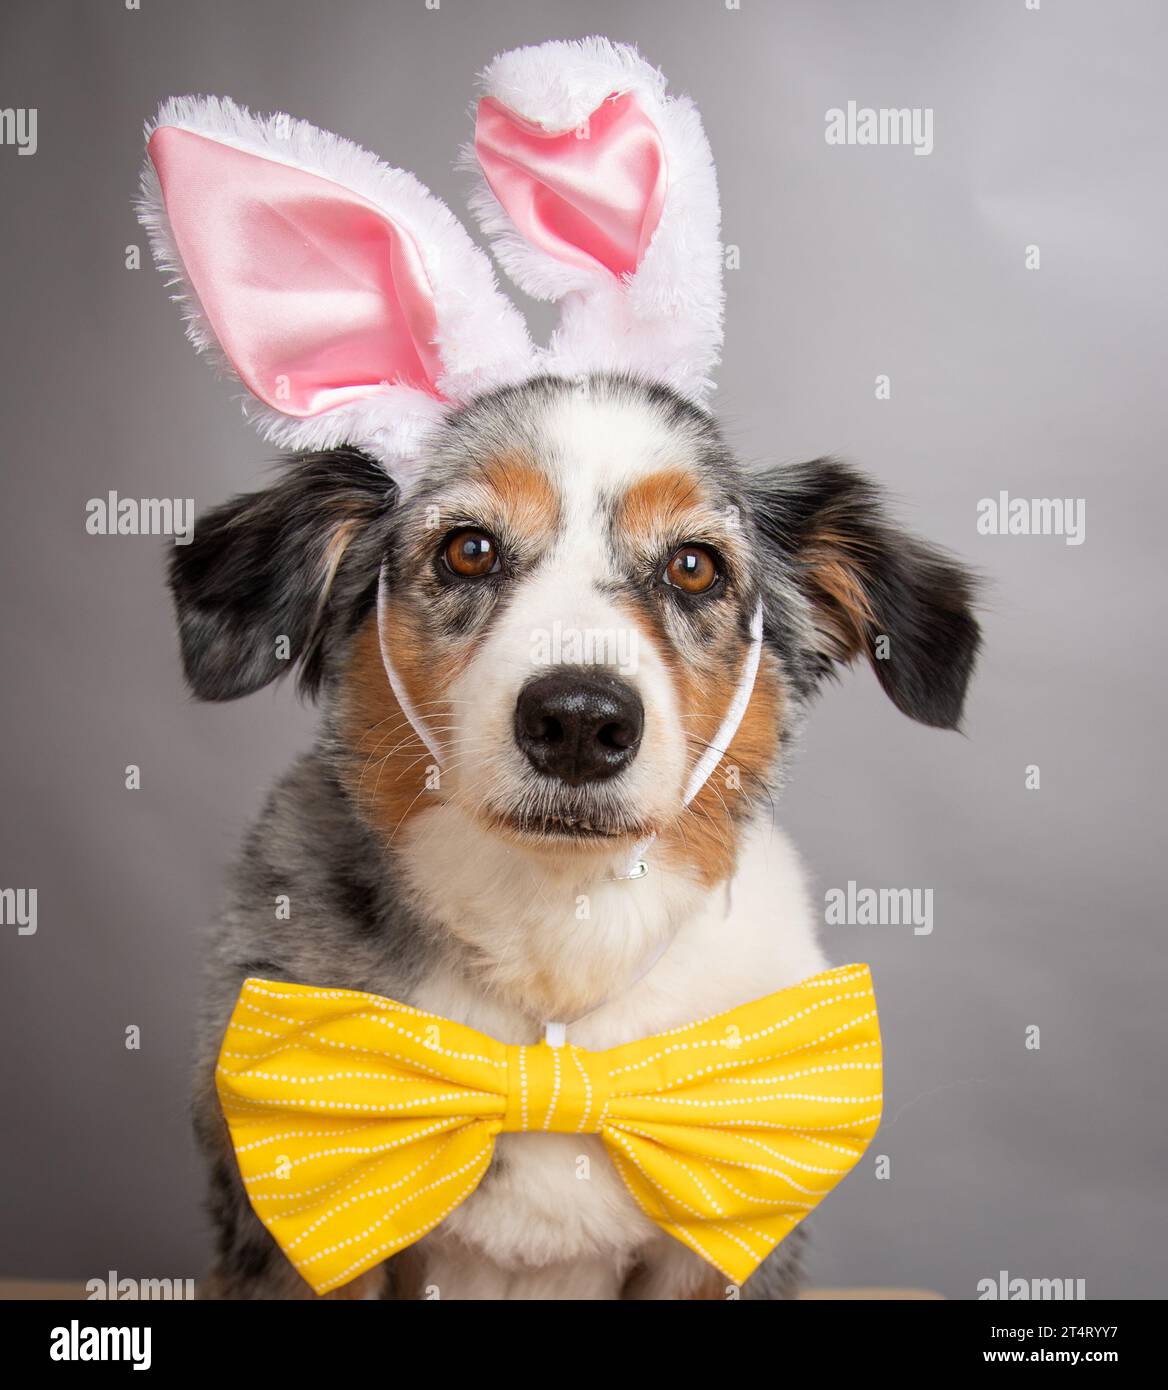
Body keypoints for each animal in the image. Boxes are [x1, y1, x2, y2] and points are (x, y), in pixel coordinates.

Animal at [134, 40, 978, 1301]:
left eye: (693, 566)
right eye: (467, 548)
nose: (579, 720)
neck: (554, 979)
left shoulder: (717, 1248)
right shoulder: (295, 1222)